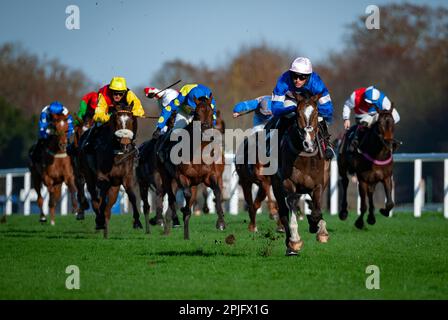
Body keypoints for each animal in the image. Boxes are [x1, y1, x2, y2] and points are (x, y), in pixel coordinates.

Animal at [79, 102, 142, 238]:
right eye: (117, 121)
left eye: (131, 120)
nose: (125, 143)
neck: (117, 152)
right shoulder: (102, 177)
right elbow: (101, 198)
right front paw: (100, 220)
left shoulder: (126, 176)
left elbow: (132, 195)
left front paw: (137, 221)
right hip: (88, 174)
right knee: (95, 197)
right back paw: (100, 221)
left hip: (115, 185)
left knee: (109, 202)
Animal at [159, 95, 226, 240]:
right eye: (197, 113)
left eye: (211, 112)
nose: (207, 131)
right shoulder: (181, 176)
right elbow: (186, 195)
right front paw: (184, 211)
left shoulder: (210, 176)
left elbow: (217, 191)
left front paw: (221, 222)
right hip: (167, 178)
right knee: (171, 197)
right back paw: (170, 223)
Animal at [268, 92, 330, 255]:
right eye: (297, 113)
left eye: (316, 113)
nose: (308, 144)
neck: (305, 156)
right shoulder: (288, 183)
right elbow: (291, 210)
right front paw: (295, 241)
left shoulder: (318, 184)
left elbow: (316, 211)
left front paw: (318, 228)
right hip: (276, 186)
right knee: (284, 213)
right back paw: (290, 245)